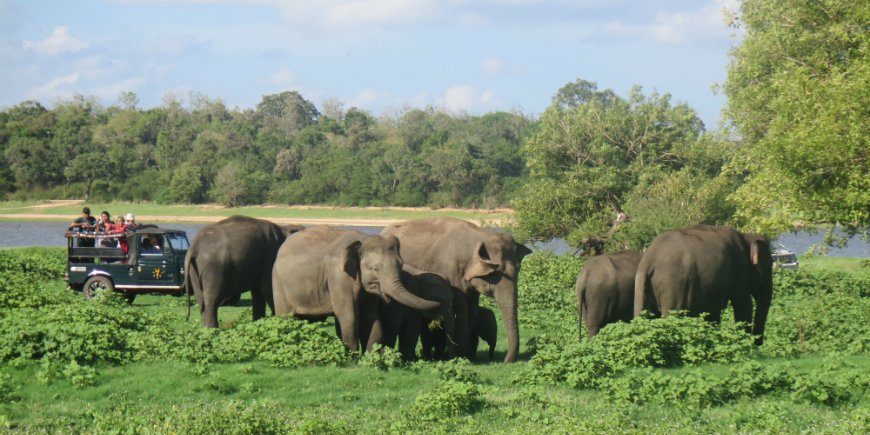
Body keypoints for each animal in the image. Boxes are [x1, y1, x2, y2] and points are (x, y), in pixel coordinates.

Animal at [272, 226, 443, 352]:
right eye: (375, 268)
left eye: (401, 265)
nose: (439, 305)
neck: (362, 241)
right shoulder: (338, 276)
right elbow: (348, 315)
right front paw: (352, 357)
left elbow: (371, 317)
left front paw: (370, 356)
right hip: (278, 283)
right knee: (286, 317)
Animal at [382, 217, 532, 362]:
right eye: (495, 272)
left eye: (519, 268)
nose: (506, 361)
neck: (480, 236)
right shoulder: (452, 271)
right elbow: (461, 307)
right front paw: (461, 357)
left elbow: (471, 308)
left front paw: (465, 356)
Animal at [634, 224, 773, 345]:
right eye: (770, 265)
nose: (758, 343)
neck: (747, 236)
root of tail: (649, 259)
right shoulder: (740, 270)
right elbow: (743, 306)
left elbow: (713, 313)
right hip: (673, 286)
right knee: (673, 317)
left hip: (642, 285)